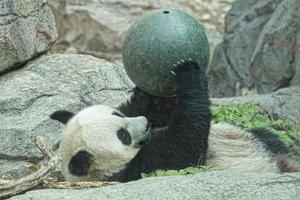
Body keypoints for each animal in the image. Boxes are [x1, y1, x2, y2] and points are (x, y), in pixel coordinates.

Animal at [51, 58, 298, 182]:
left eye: (118, 115)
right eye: (123, 136)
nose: (146, 124)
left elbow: (152, 108)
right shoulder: (144, 167)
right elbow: (186, 145)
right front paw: (188, 73)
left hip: (254, 138)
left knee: (268, 137)